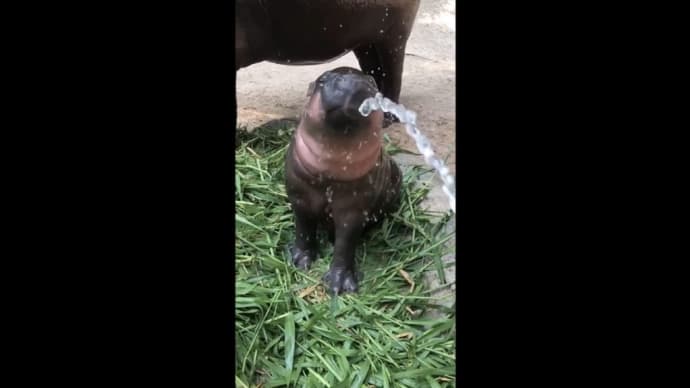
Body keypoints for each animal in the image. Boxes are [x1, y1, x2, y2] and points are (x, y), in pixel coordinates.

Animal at [286, 68, 404, 296]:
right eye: (322, 80)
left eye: (372, 82)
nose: (351, 82)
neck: (330, 171)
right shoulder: (299, 197)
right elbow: (303, 229)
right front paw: (299, 262)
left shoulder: (354, 210)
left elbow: (345, 245)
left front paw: (339, 285)